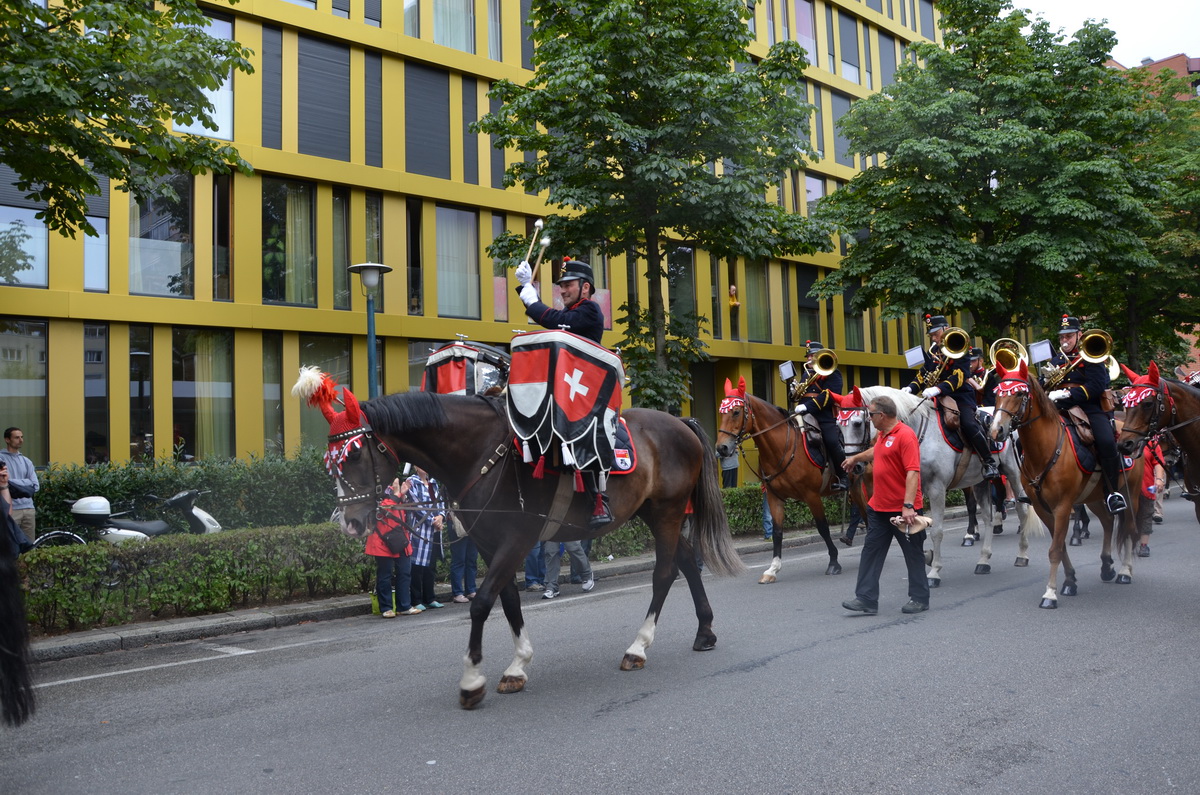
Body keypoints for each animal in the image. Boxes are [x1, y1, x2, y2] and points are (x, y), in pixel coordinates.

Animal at [293, 371, 744, 709]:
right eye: (330, 460)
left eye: (353, 454)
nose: (350, 522)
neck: (482, 453)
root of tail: (680, 422)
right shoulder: (490, 543)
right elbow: (506, 600)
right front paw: (517, 665)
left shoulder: (516, 539)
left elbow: (480, 602)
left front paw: (472, 680)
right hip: (653, 512)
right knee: (686, 561)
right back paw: (704, 631)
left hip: (668, 511)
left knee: (665, 572)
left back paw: (639, 647)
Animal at [714, 381, 865, 584]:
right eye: (721, 412)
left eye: (736, 412)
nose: (722, 448)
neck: (781, 447)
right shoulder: (774, 497)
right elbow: (777, 532)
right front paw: (772, 569)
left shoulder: (812, 495)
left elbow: (823, 528)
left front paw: (834, 562)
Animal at [848, 386, 1035, 588]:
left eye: (857, 423)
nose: (854, 467)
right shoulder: (913, 489)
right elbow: (916, 528)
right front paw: (926, 556)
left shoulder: (936, 488)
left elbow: (936, 531)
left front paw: (934, 571)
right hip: (980, 481)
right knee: (988, 517)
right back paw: (984, 560)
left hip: (1013, 472)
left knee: (1022, 509)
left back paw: (1022, 554)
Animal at [990, 360, 1142, 608]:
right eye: (996, 394)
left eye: (1020, 393)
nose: (996, 431)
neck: (1045, 449)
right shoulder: (1043, 507)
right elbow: (1059, 547)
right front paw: (1070, 580)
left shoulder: (1062, 506)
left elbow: (1055, 549)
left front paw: (1049, 594)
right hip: (1094, 497)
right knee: (1108, 521)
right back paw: (1106, 565)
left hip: (1131, 494)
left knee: (1129, 527)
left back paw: (1125, 571)